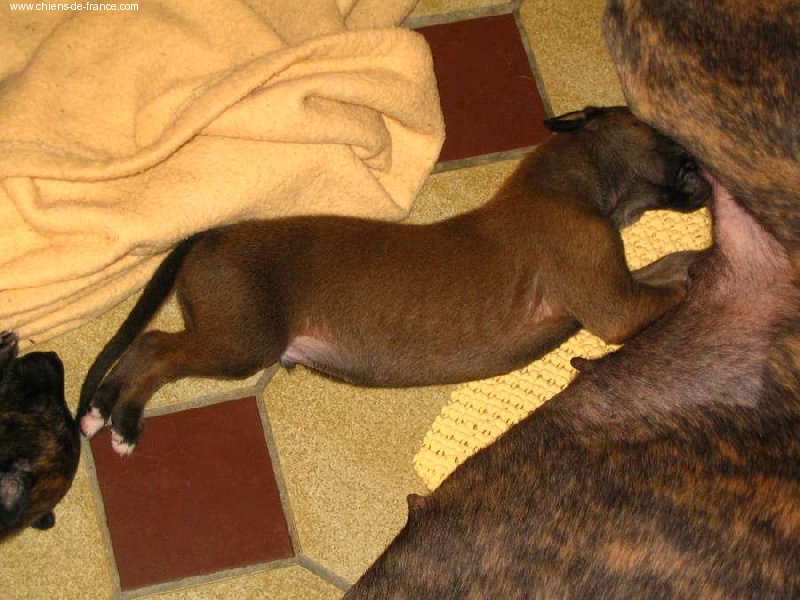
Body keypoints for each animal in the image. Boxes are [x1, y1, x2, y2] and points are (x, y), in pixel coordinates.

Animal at [77, 105, 709, 455]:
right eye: (670, 135)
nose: (711, 170)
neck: (567, 181)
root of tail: (208, 234)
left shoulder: (620, 284)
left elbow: (673, 263)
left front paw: (702, 254)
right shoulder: (616, 307)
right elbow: (676, 290)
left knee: (146, 350)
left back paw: (103, 412)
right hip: (239, 341)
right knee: (155, 347)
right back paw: (123, 422)